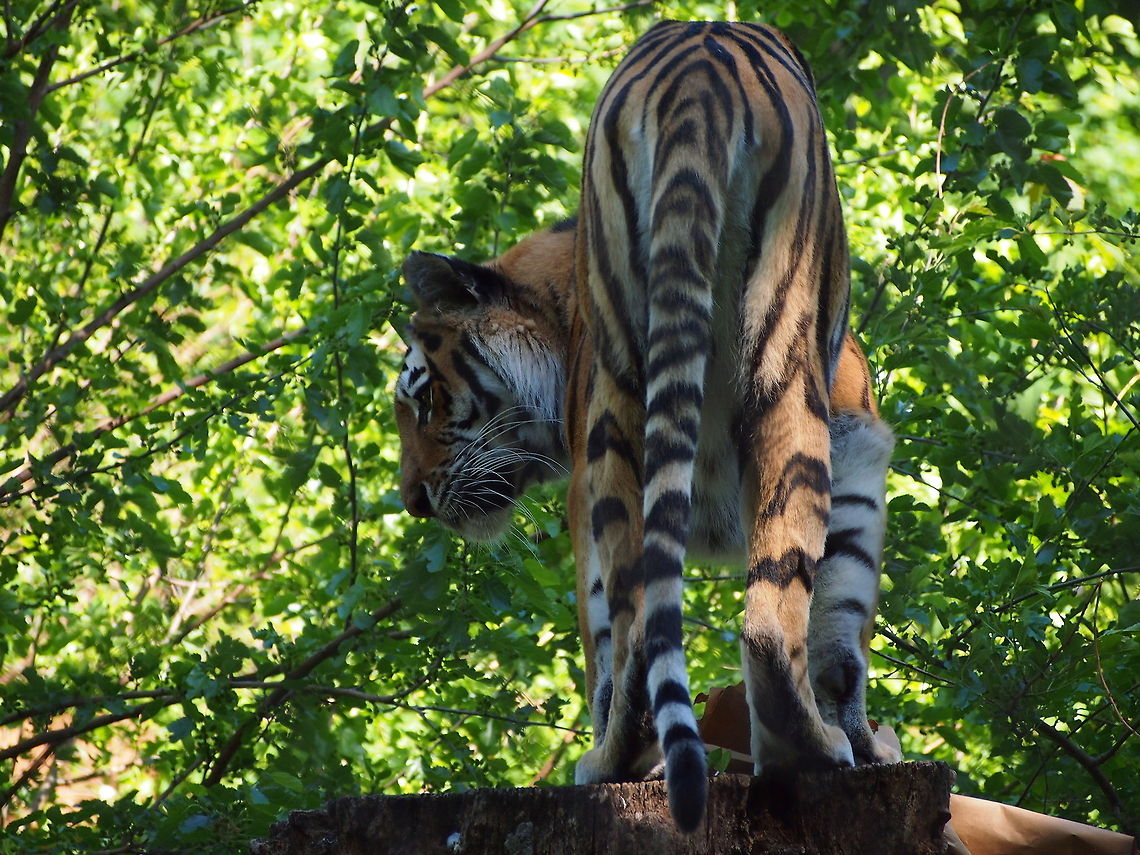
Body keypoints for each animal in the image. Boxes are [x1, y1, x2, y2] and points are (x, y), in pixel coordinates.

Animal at [394, 20, 900, 832]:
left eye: (424, 398)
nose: (413, 500)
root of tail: (700, 62)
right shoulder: (855, 444)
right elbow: (838, 623)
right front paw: (860, 741)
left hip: (628, 417)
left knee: (641, 628)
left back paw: (618, 761)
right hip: (778, 379)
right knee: (762, 621)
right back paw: (801, 751)